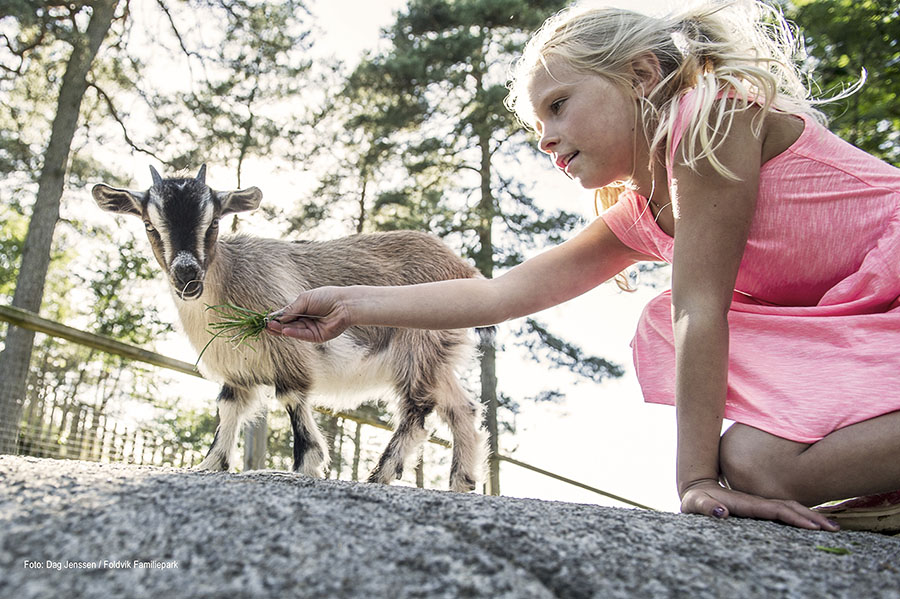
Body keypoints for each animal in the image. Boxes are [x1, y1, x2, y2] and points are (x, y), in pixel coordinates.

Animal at [93, 165, 486, 492]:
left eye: (214, 222)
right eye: (149, 225)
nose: (187, 275)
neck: (227, 278)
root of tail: (464, 269)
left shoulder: (287, 352)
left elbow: (292, 400)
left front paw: (306, 463)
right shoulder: (237, 369)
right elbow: (228, 408)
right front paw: (211, 463)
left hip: (417, 347)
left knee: (418, 411)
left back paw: (380, 475)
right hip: (437, 356)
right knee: (462, 408)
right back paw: (462, 482)